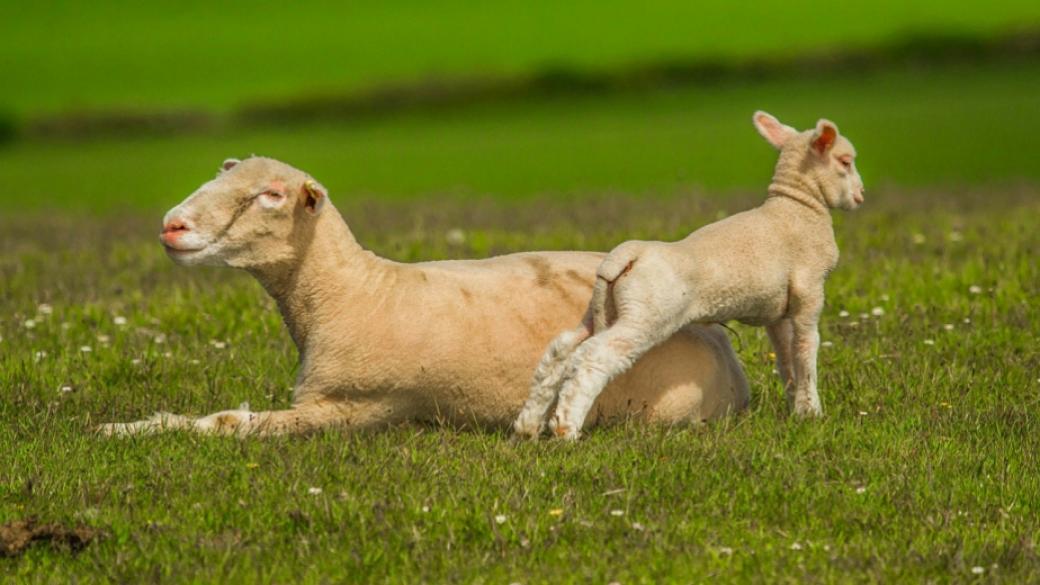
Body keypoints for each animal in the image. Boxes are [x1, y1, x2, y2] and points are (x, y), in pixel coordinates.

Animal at [99, 157, 748, 435]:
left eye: (272, 196)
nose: (173, 225)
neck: (354, 291)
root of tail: (729, 355)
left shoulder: (354, 408)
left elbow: (229, 423)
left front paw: (132, 430)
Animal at [515, 110, 865, 437]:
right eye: (846, 162)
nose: (860, 196)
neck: (798, 207)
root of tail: (627, 255)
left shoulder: (777, 312)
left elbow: (785, 358)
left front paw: (796, 408)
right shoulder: (809, 292)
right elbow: (806, 351)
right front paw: (812, 413)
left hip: (603, 308)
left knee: (562, 350)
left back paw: (528, 425)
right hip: (645, 315)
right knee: (594, 356)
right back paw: (566, 429)